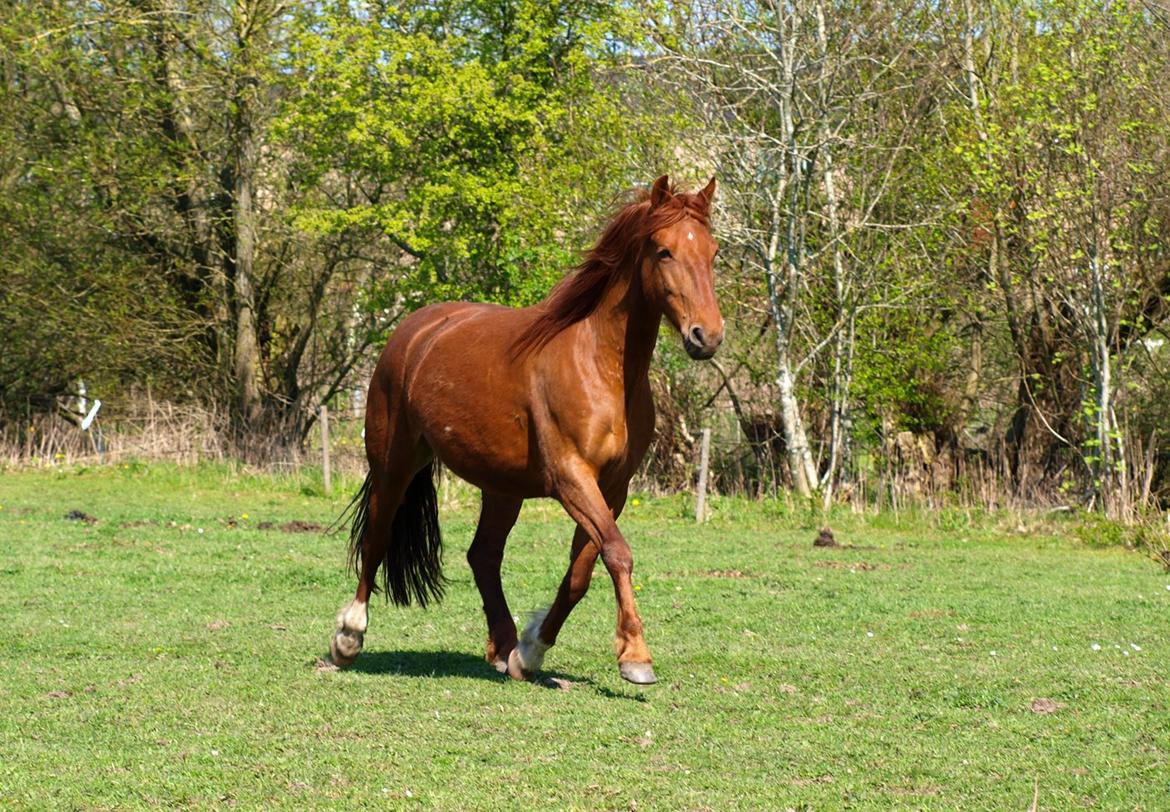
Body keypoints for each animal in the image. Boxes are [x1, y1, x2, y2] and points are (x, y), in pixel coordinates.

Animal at [329, 175, 720, 683]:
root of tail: (414, 329)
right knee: (377, 536)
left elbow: (580, 574)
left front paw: (531, 651)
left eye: (712, 252)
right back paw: (349, 637)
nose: (706, 336)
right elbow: (618, 552)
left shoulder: (612, 489)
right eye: (664, 251)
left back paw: (503, 647)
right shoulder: (572, 479)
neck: (602, 365)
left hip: (502, 486)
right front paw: (635, 656)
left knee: (483, 555)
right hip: (395, 463)